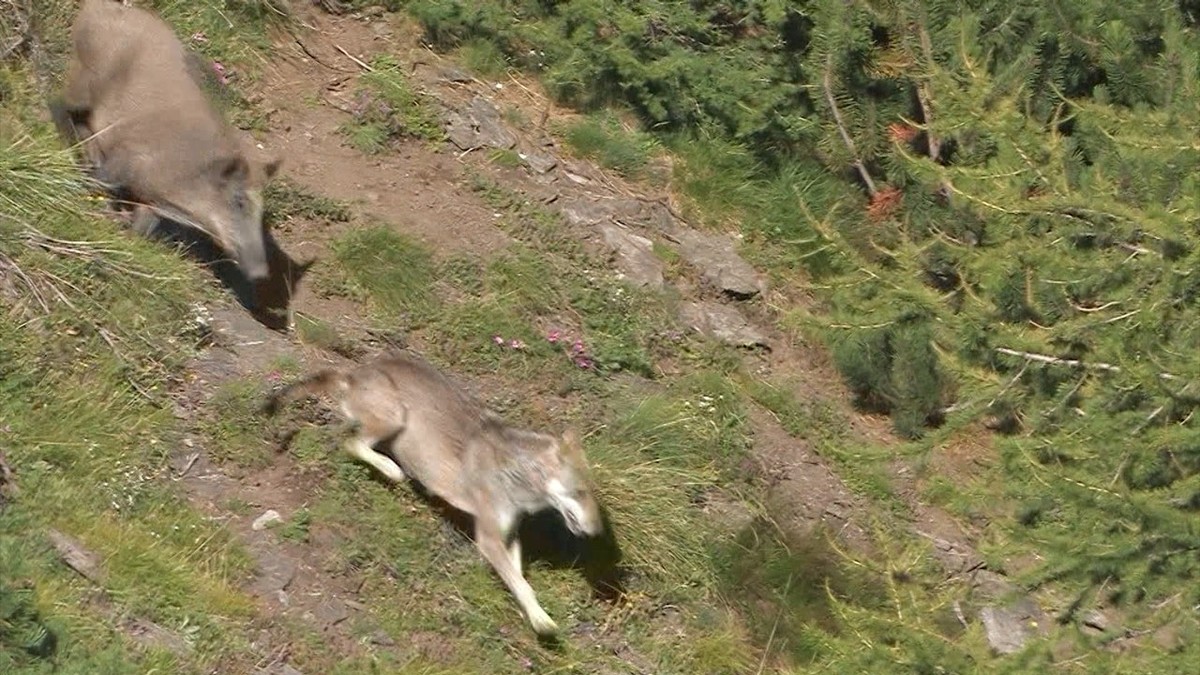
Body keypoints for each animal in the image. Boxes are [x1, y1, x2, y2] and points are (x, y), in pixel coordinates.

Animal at [50, 0, 281, 282]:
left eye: (262, 211)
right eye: (238, 200)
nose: (261, 273)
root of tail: (98, 8)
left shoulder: (152, 202)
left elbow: (142, 227)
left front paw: (126, 230)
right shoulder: (128, 156)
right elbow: (103, 181)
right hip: (83, 80)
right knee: (59, 106)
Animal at [262, 351, 605, 636]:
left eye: (591, 494)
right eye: (579, 491)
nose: (597, 531)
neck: (516, 472)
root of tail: (355, 373)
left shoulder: (509, 534)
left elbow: (517, 577)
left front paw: (527, 612)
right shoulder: (489, 537)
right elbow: (522, 584)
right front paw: (542, 621)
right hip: (394, 417)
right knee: (352, 443)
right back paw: (393, 470)